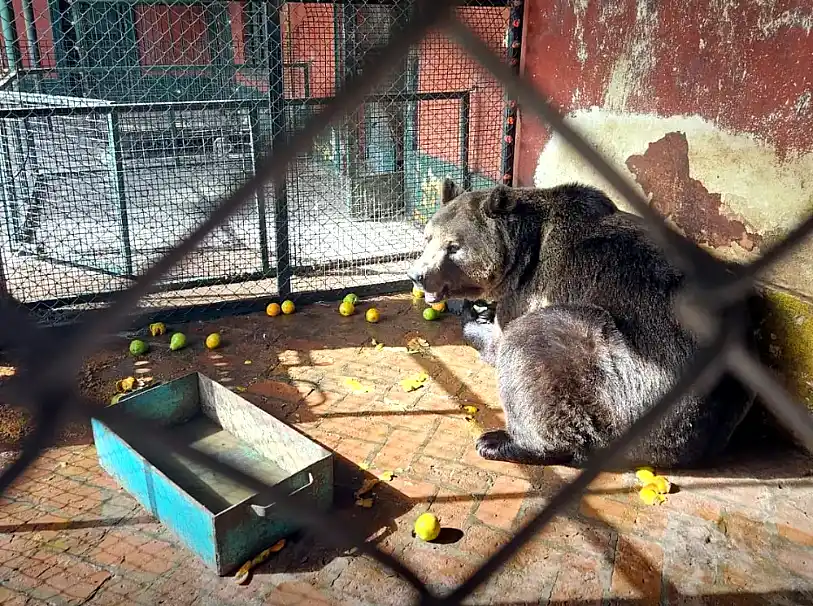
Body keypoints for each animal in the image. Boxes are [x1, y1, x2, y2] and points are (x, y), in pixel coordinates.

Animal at [406, 179, 755, 468]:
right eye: (428, 237)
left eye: (454, 246)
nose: (418, 274)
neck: (521, 253)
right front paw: (474, 309)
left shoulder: (531, 290)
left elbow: (502, 340)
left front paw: (474, 319)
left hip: (625, 377)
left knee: (533, 345)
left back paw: (501, 441)